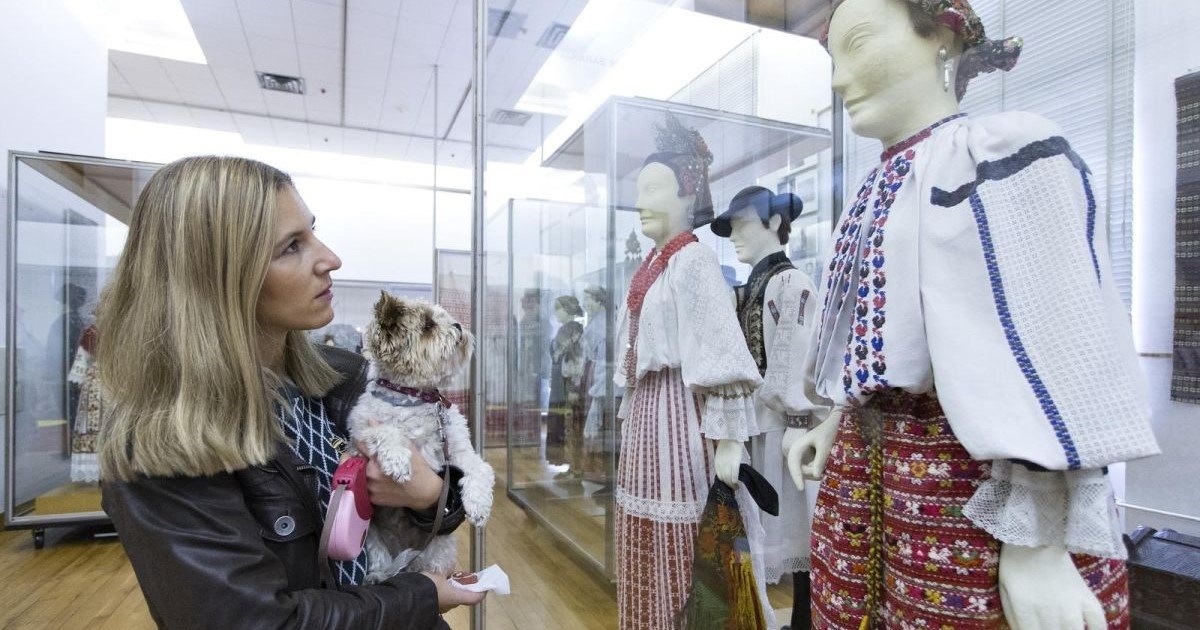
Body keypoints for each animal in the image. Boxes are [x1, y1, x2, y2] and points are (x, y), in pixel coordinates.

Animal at [348, 292, 496, 583]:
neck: (416, 399)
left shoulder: (458, 451)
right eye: (428, 325)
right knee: (381, 562)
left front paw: (479, 505)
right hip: (373, 542)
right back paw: (379, 576)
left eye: (447, 317)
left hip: (439, 548)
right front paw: (398, 461)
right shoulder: (360, 433)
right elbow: (385, 431)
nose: (459, 326)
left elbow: (480, 469)